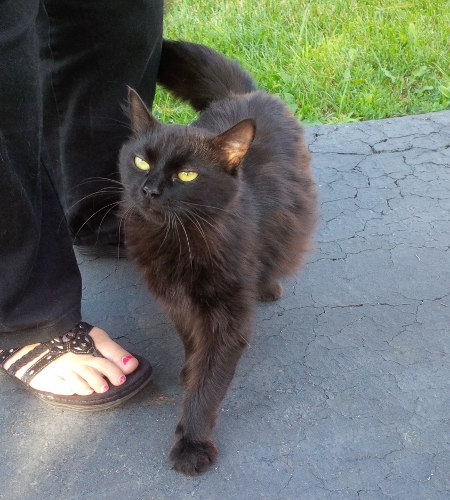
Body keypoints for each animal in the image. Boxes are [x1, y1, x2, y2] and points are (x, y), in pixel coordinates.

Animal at [119, 41, 316, 474]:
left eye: (187, 175)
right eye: (141, 161)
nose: (150, 190)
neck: (177, 240)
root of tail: (243, 95)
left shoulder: (227, 316)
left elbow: (209, 385)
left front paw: (192, 443)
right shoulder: (176, 300)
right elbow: (191, 342)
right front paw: (189, 368)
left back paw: (268, 287)